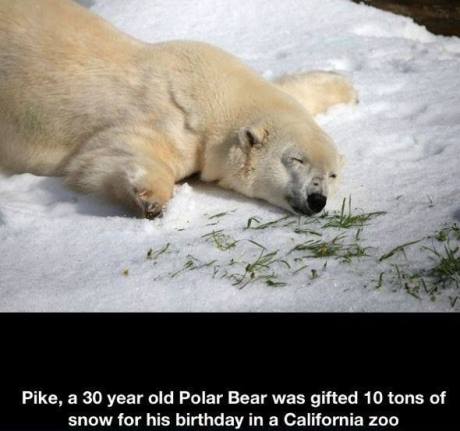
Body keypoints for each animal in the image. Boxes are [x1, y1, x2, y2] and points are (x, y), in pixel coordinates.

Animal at [0, 0, 358, 216]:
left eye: (332, 174)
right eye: (295, 160)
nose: (317, 200)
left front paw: (347, 88)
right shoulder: (172, 121)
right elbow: (109, 153)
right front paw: (152, 200)